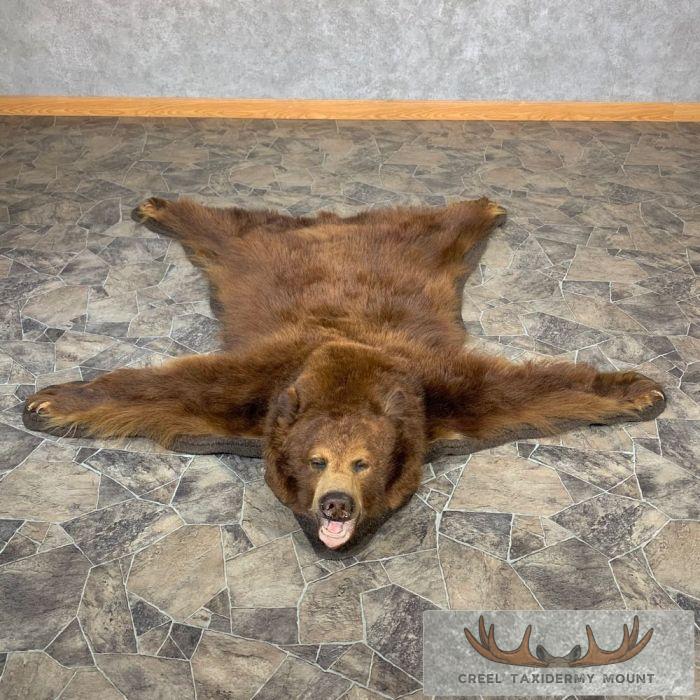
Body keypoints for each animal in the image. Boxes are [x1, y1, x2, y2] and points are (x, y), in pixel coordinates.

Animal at [26, 196, 666, 551]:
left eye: (363, 462)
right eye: (316, 461)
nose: (337, 505)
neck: (347, 367)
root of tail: (331, 223)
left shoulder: (442, 393)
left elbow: (525, 389)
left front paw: (637, 390)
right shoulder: (254, 390)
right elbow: (170, 388)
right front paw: (52, 401)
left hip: (417, 254)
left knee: (444, 228)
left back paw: (483, 207)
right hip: (252, 252)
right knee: (221, 226)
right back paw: (160, 208)